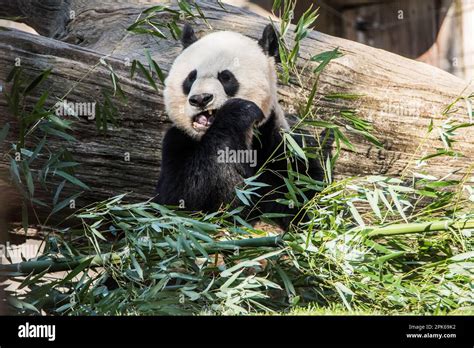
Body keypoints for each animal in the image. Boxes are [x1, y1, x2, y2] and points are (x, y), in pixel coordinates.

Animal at [156, 23, 330, 228]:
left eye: (226, 77)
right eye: (191, 78)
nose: (200, 99)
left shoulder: (280, 150)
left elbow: (304, 192)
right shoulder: (176, 144)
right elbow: (179, 201)